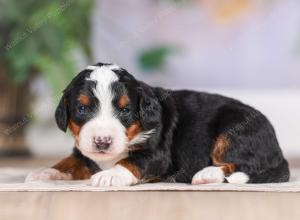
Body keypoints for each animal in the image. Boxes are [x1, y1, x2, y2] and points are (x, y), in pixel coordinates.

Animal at [26, 62, 290, 186]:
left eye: (125, 110)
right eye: (82, 108)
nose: (102, 141)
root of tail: (277, 149)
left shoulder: (157, 154)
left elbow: (131, 161)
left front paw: (109, 175)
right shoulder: (83, 151)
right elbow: (70, 161)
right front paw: (46, 172)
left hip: (233, 131)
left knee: (243, 165)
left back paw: (207, 174)